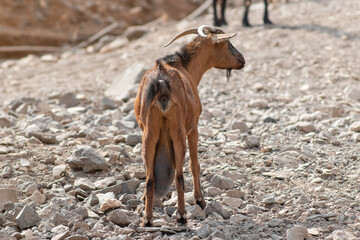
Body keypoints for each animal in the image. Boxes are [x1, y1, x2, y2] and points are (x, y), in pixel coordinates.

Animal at [134, 25, 245, 226]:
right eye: (228, 43)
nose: (242, 60)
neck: (182, 66)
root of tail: (161, 83)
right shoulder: (193, 128)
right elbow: (195, 164)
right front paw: (200, 200)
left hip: (149, 133)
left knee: (150, 177)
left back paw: (147, 218)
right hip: (178, 132)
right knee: (179, 174)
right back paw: (182, 215)